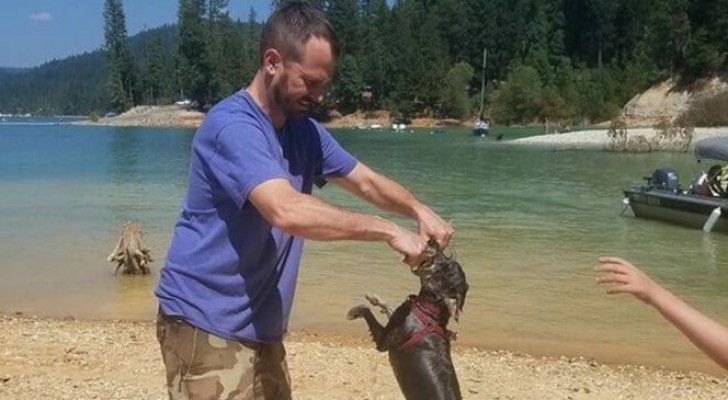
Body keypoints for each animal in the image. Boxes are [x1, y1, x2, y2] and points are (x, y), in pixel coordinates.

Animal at [346, 244, 466, 400]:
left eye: (445, 265)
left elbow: (366, 310)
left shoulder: (383, 341)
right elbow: (387, 306)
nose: (435, 243)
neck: (428, 310)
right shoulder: (397, 318)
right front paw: (375, 299)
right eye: (447, 260)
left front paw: (354, 312)